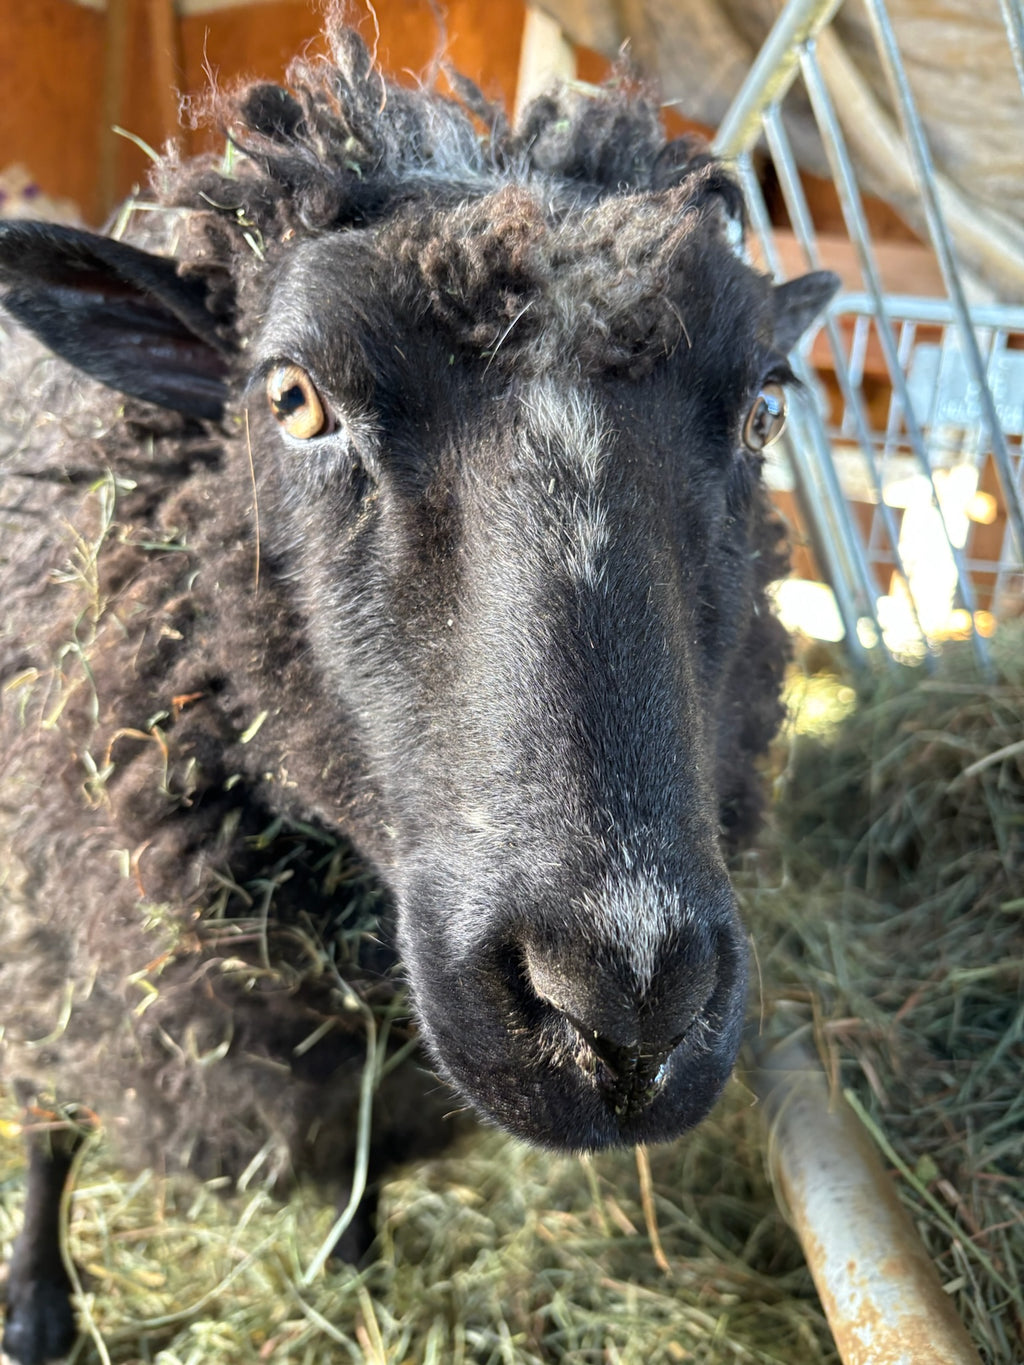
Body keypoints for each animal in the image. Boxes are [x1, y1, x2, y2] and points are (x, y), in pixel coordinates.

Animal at [0, 18, 838, 1362]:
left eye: (764, 406)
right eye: (293, 399)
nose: (624, 1006)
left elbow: (365, 1147)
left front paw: (352, 1259)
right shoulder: (41, 929)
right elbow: (45, 1123)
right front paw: (35, 1304)